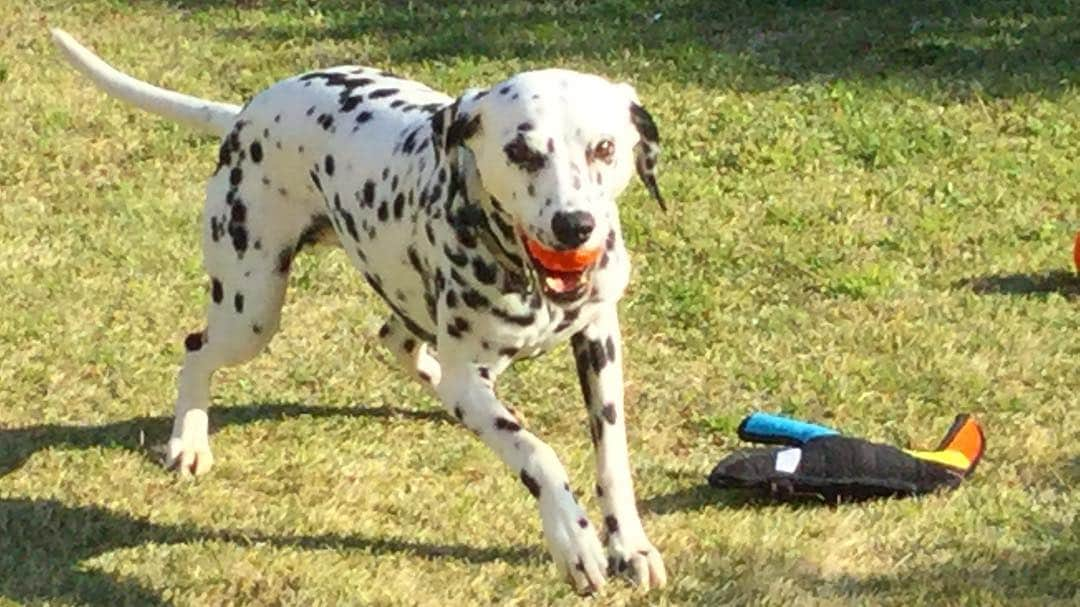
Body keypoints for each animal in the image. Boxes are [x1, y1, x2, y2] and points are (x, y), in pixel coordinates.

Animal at [54, 29, 669, 591]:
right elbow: (536, 451)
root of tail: (246, 111)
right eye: (520, 151)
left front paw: (630, 545)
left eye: (604, 148)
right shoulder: (471, 377)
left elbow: (612, 455)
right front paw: (574, 540)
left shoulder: (599, 341)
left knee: (398, 341)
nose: (574, 225)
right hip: (249, 312)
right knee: (196, 351)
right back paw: (189, 441)